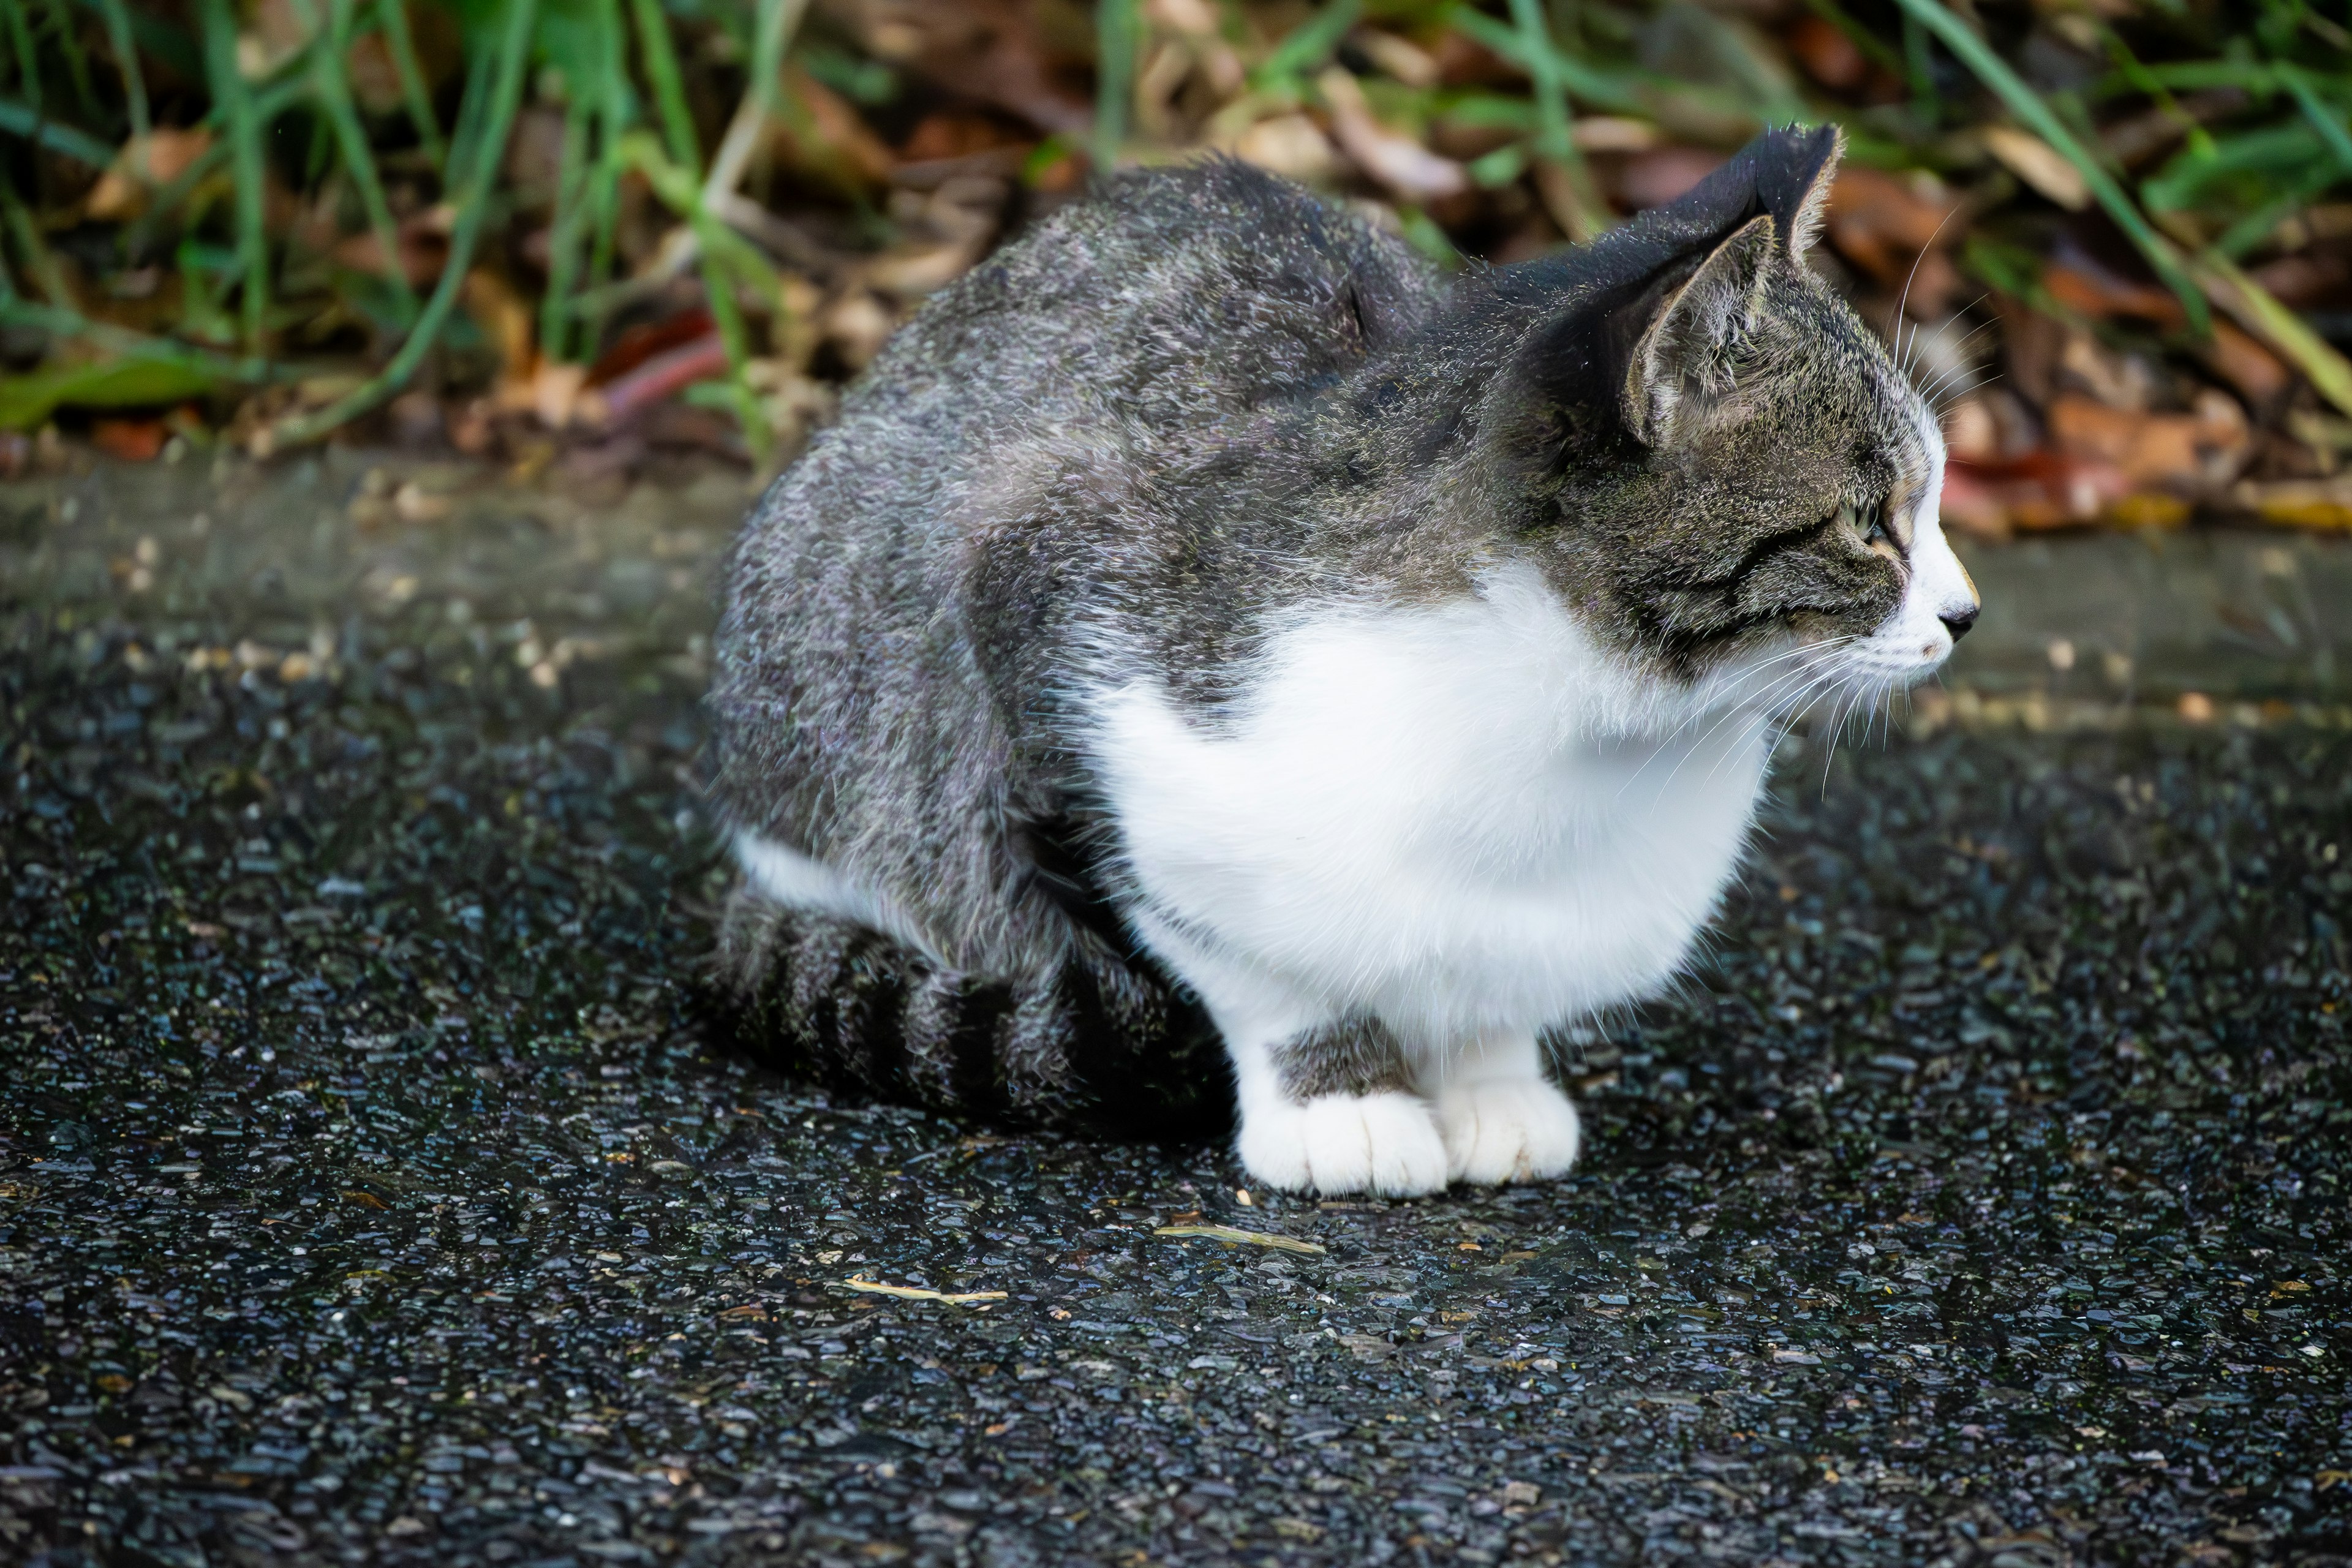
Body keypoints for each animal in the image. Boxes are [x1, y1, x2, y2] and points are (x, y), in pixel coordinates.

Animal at [706, 129, 1975, 1194]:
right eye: (1873, 523)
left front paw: (1490, 1080)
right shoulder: (1048, 610)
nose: (1966, 612)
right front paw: (1342, 1098)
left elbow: (1486, 990)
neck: (1587, 735)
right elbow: (1257, 967)